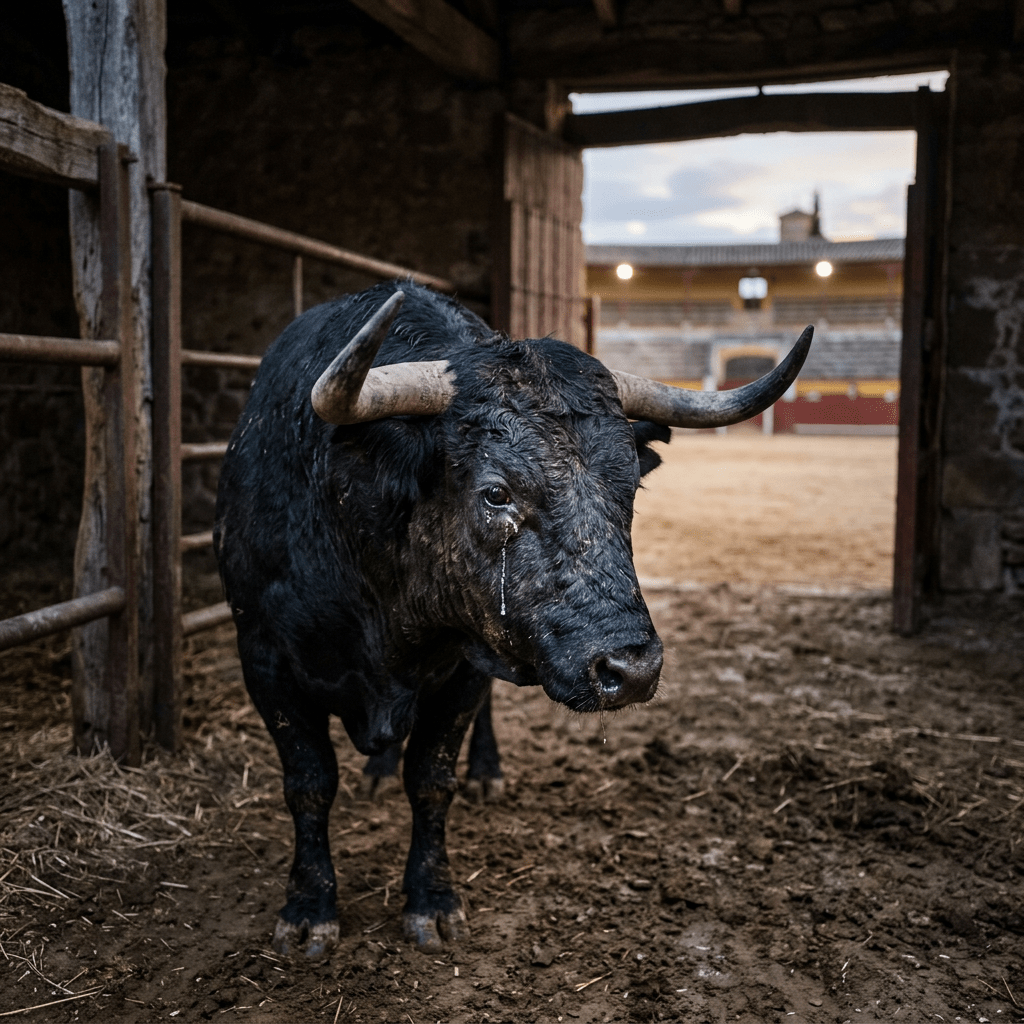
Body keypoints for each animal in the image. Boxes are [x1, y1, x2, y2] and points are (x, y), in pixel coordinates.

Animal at [214, 281, 811, 957]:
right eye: (496, 493)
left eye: (630, 488)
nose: (631, 668)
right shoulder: (265, 661)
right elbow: (309, 783)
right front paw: (309, 908)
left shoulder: (467, 663)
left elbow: (431, 778)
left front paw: (432, 901)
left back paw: (483, 772)